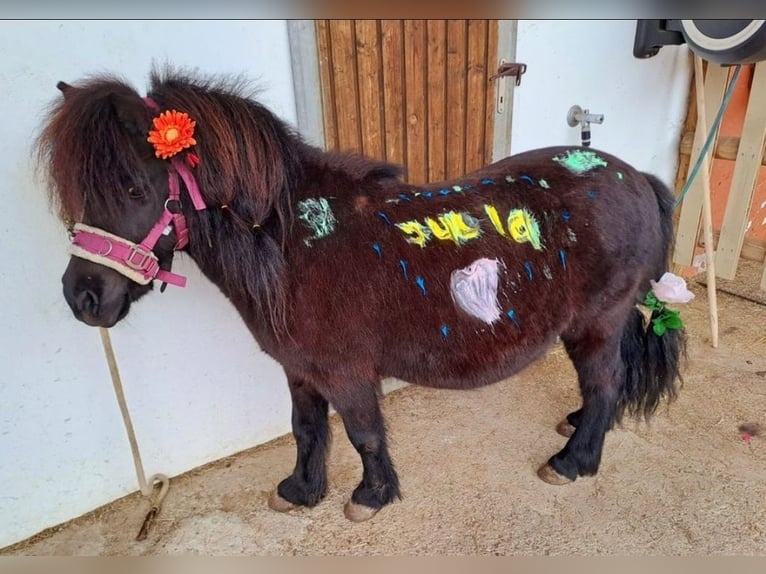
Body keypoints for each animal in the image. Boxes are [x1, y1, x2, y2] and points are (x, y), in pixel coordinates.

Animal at [37, 68, 685, 522]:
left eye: (133, 187)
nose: (83, 297)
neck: (294, 243)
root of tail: (632, 176)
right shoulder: (299, 369)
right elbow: (305, 428)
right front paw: (301, 491)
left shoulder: (346, 371)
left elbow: (363, 432)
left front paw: (371, 496)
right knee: (606, 385)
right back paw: (579, 429)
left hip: (598, 320)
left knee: (606, 383)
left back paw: (575, 461)